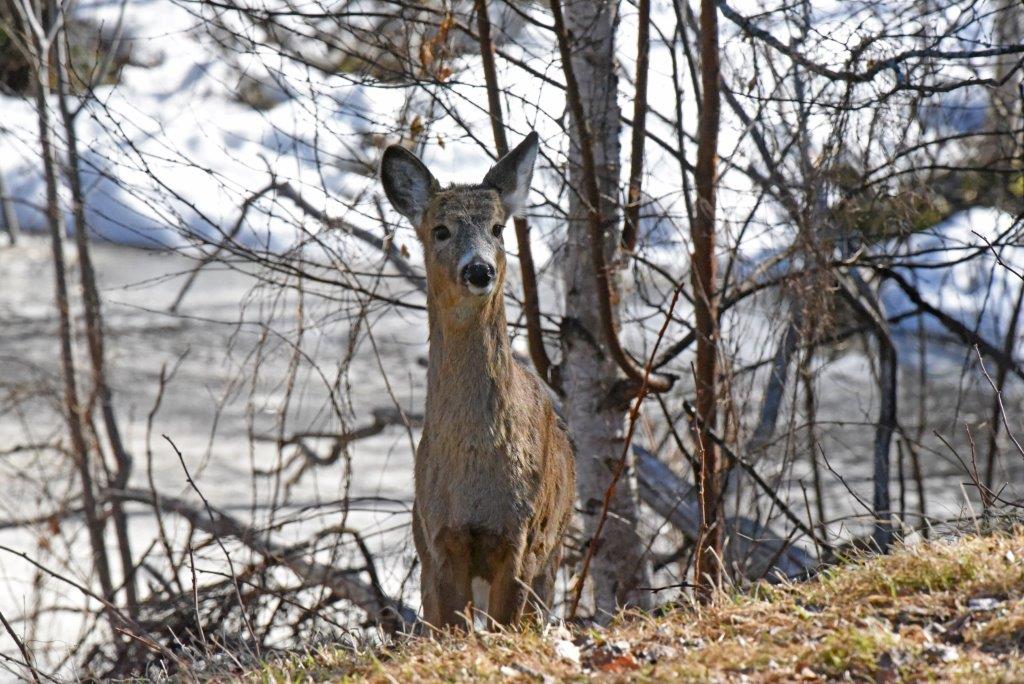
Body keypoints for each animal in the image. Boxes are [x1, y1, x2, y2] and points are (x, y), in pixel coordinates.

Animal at [380, 132, 575, 630]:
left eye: (499, 228)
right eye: (440, 230)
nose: (479, 270)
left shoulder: (522, 538)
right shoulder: (439, 540)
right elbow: (449, 625)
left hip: (553, 550)